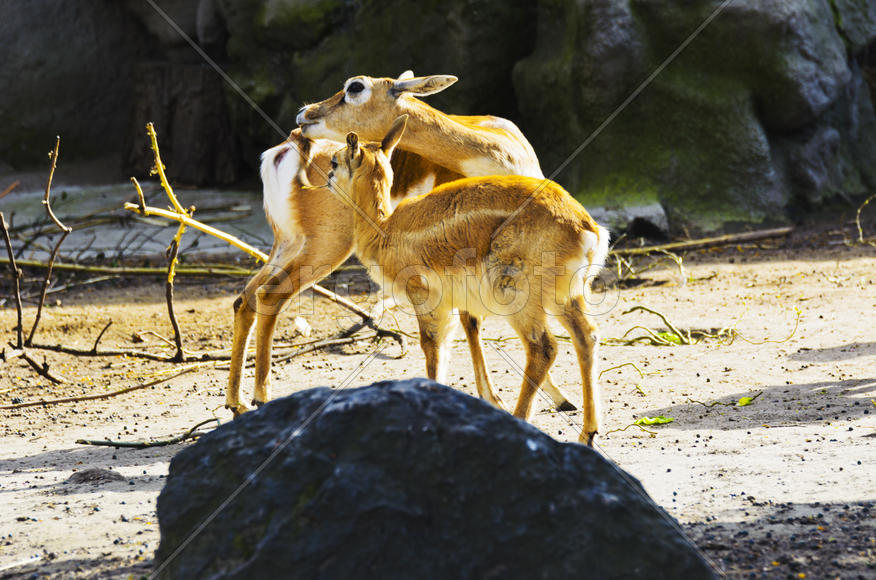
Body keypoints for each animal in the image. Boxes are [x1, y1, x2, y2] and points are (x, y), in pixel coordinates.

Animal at [227, 71, 575, 416]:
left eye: (355, 87)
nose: (305, 113)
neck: (503, 150)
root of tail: (286, 149)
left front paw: (557, 397)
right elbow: (470, 320)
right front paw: (498, 398)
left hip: (288, 243)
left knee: (247, 297)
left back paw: (237, 402)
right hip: (325, 248)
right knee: (271, 295)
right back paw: (261, 397)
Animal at [324, 116, 610, 445]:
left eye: (335, 160)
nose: (326, 177)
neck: (385, 229)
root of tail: (586, 227)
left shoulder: (426, 297)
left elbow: (432, 346)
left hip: (517, 295)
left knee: (544, 348)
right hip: (567, 296)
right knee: (587, 336)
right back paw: (588, 433)